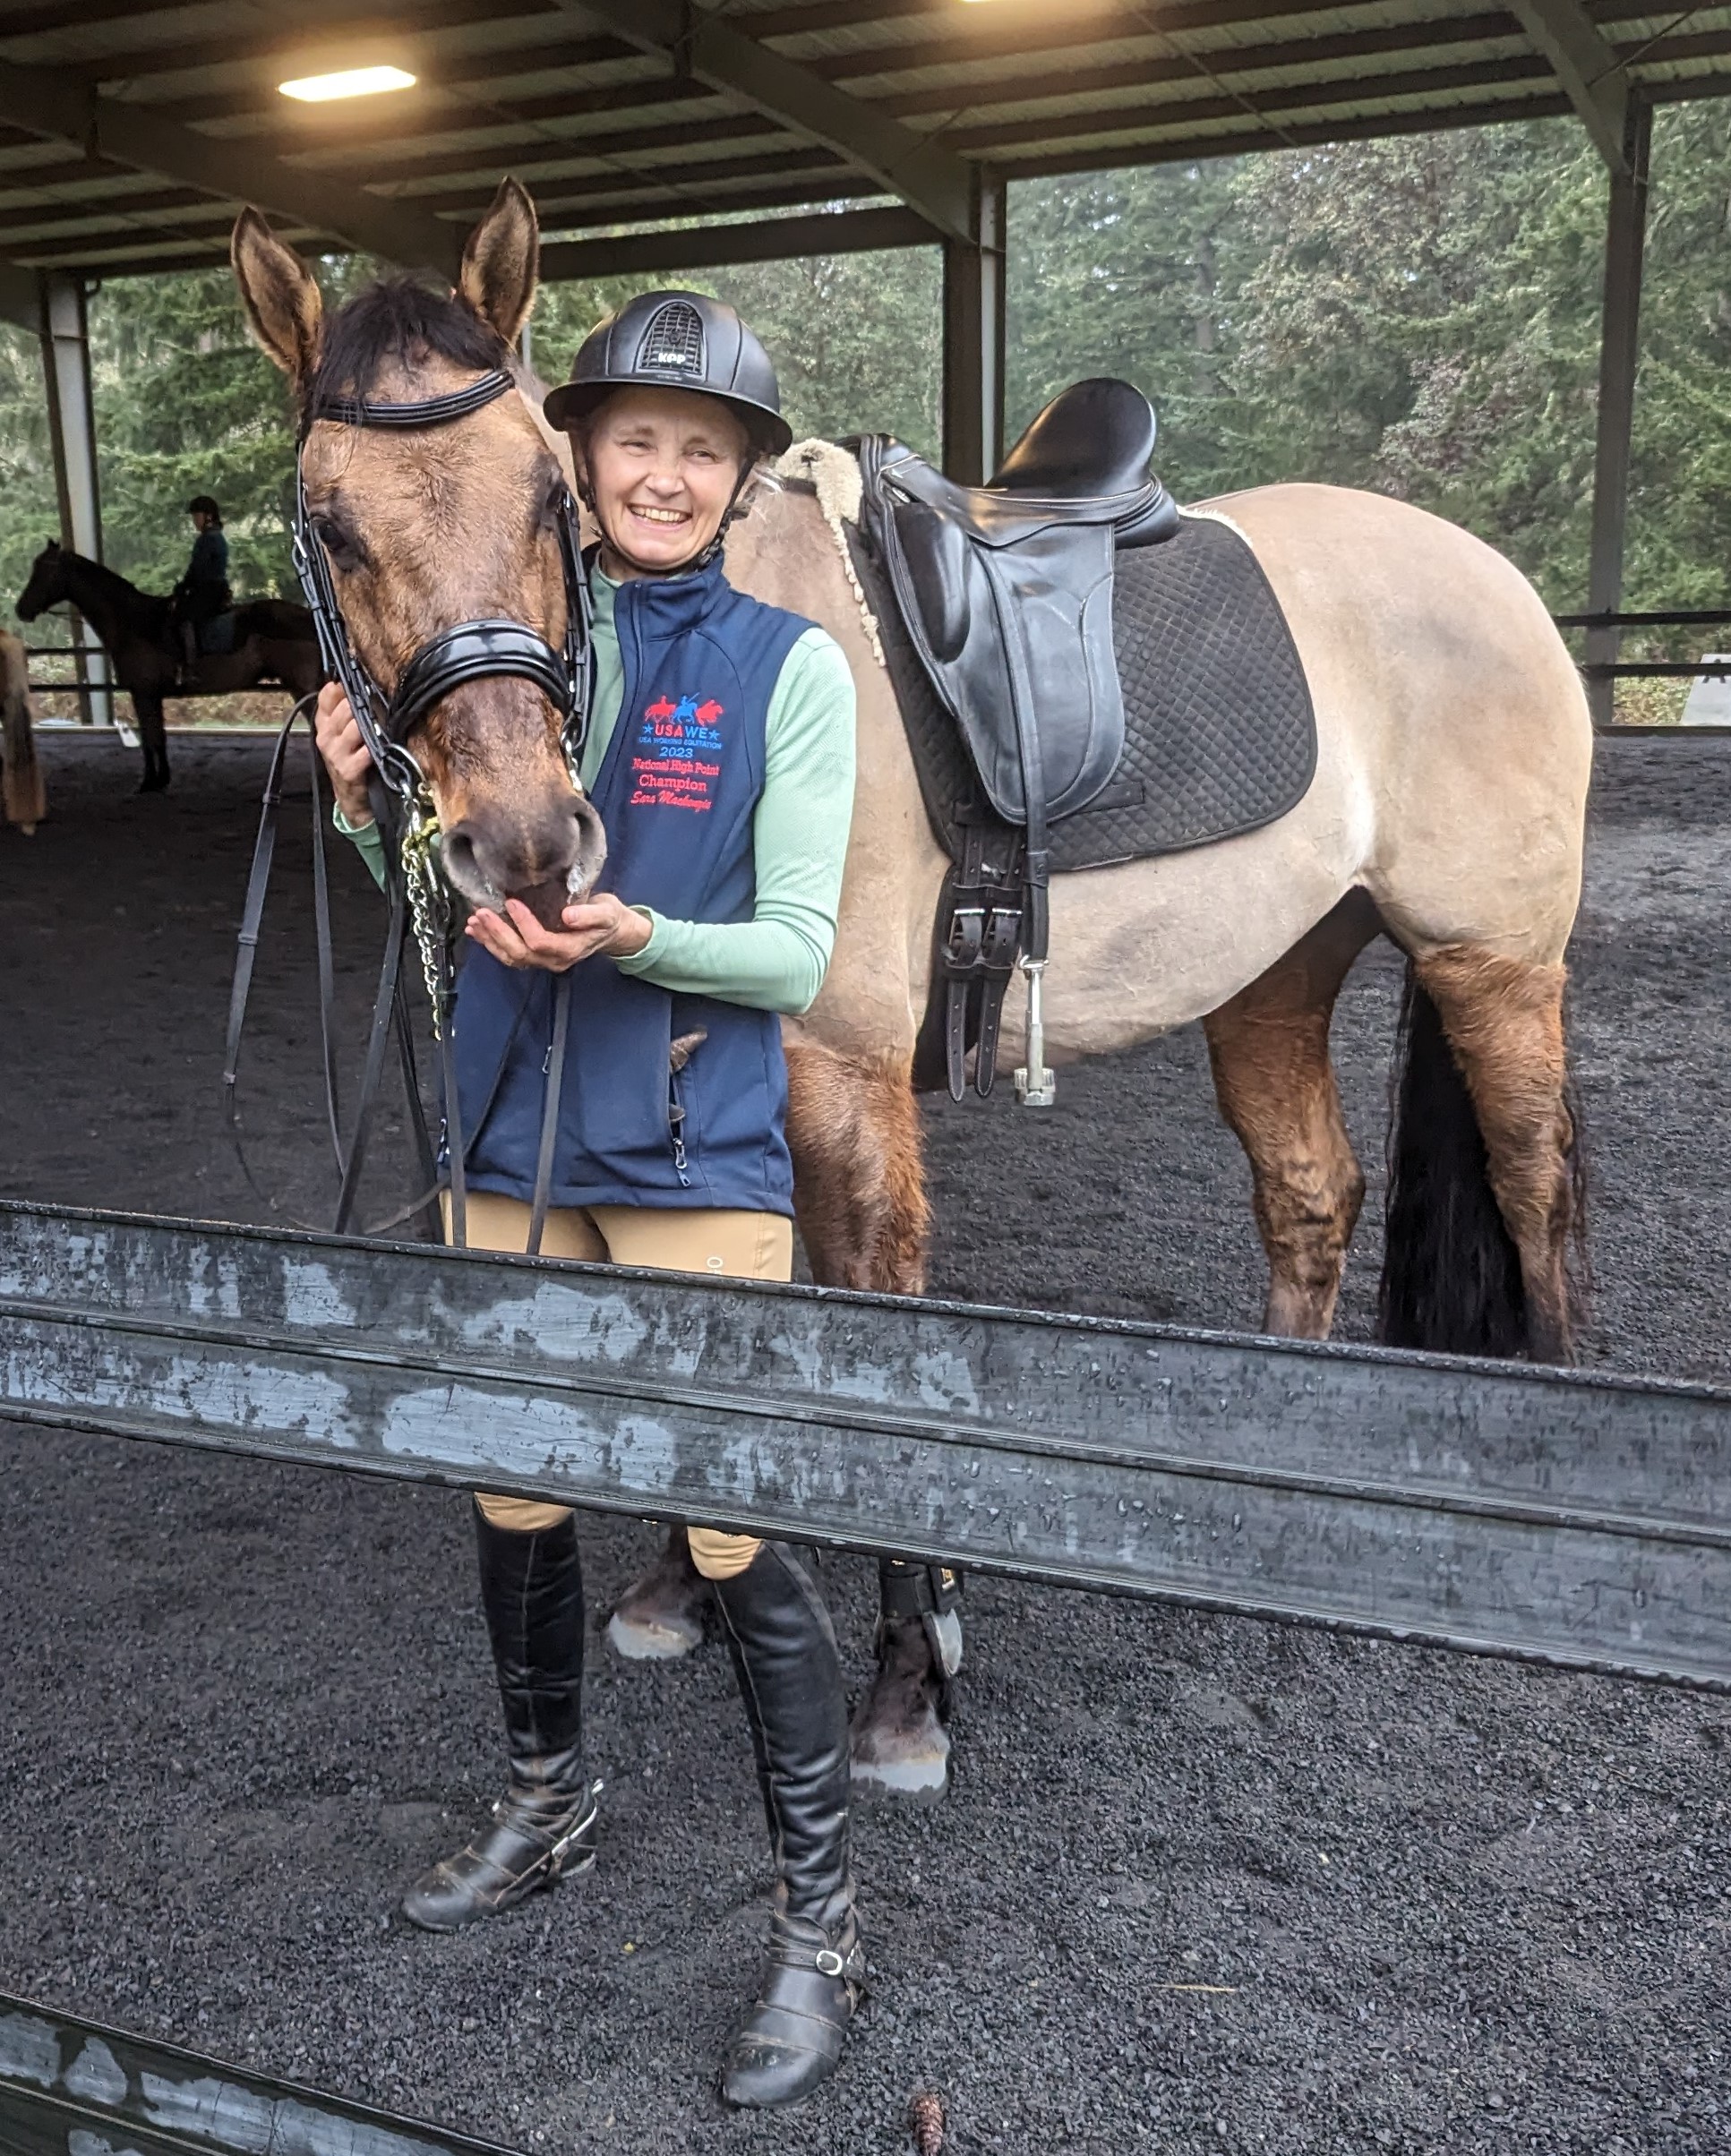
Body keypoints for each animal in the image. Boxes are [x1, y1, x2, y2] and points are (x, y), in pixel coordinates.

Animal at [15, 541, 325, 793]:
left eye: (44, 570)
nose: (21, 610)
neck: (132, 623)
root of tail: (311, 619)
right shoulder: (150, 694)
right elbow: (158, 737)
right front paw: (161, 779)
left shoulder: (143, 693)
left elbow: (150, 738)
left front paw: (149, 782)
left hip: (302, 687)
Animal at [229, 182, 1591, 1799]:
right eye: (330, 523)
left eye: (546, 500)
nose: (525, 842)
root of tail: (1490, 573)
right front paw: (686, 1588)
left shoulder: (846, 1068)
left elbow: (857, 1335)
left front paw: (903, 1686)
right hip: (1274, 975)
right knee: (1310, 1190)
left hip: (1488, 962)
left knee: (1533, 1184)